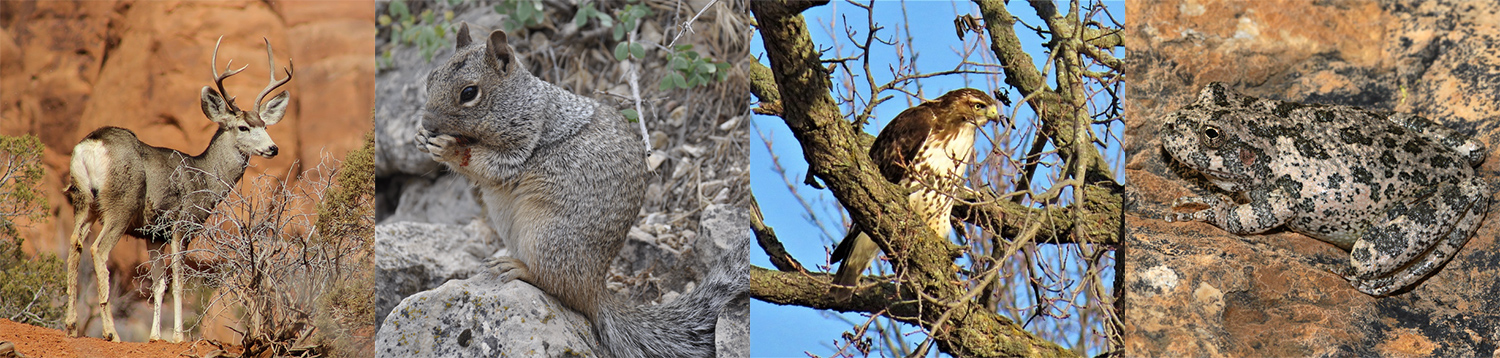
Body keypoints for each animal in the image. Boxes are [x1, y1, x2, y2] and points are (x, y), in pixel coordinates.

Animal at [64, 35, 292, 341]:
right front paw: (178, 336)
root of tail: (91, 144)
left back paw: (71, 325)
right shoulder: (183, 224)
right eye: (244, 127)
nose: (273, 148)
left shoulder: (153, 233)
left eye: (265, 125)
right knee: (98, 251)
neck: (205, 179)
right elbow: (179, 282)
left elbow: (158, 284)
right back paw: (111, 332)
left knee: (74, 244)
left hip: (83, 200)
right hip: (121, 203)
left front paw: (154, 337)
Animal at [414, 23, 747, 356]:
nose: (427, 123)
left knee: (559, 286)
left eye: (469, 93)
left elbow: (492, 165)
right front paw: (420, 138)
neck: (526, 102)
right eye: (430, 78)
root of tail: (595, 289)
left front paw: (450, 149)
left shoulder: (523, 143)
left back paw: (519, 268)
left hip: (547, 237)